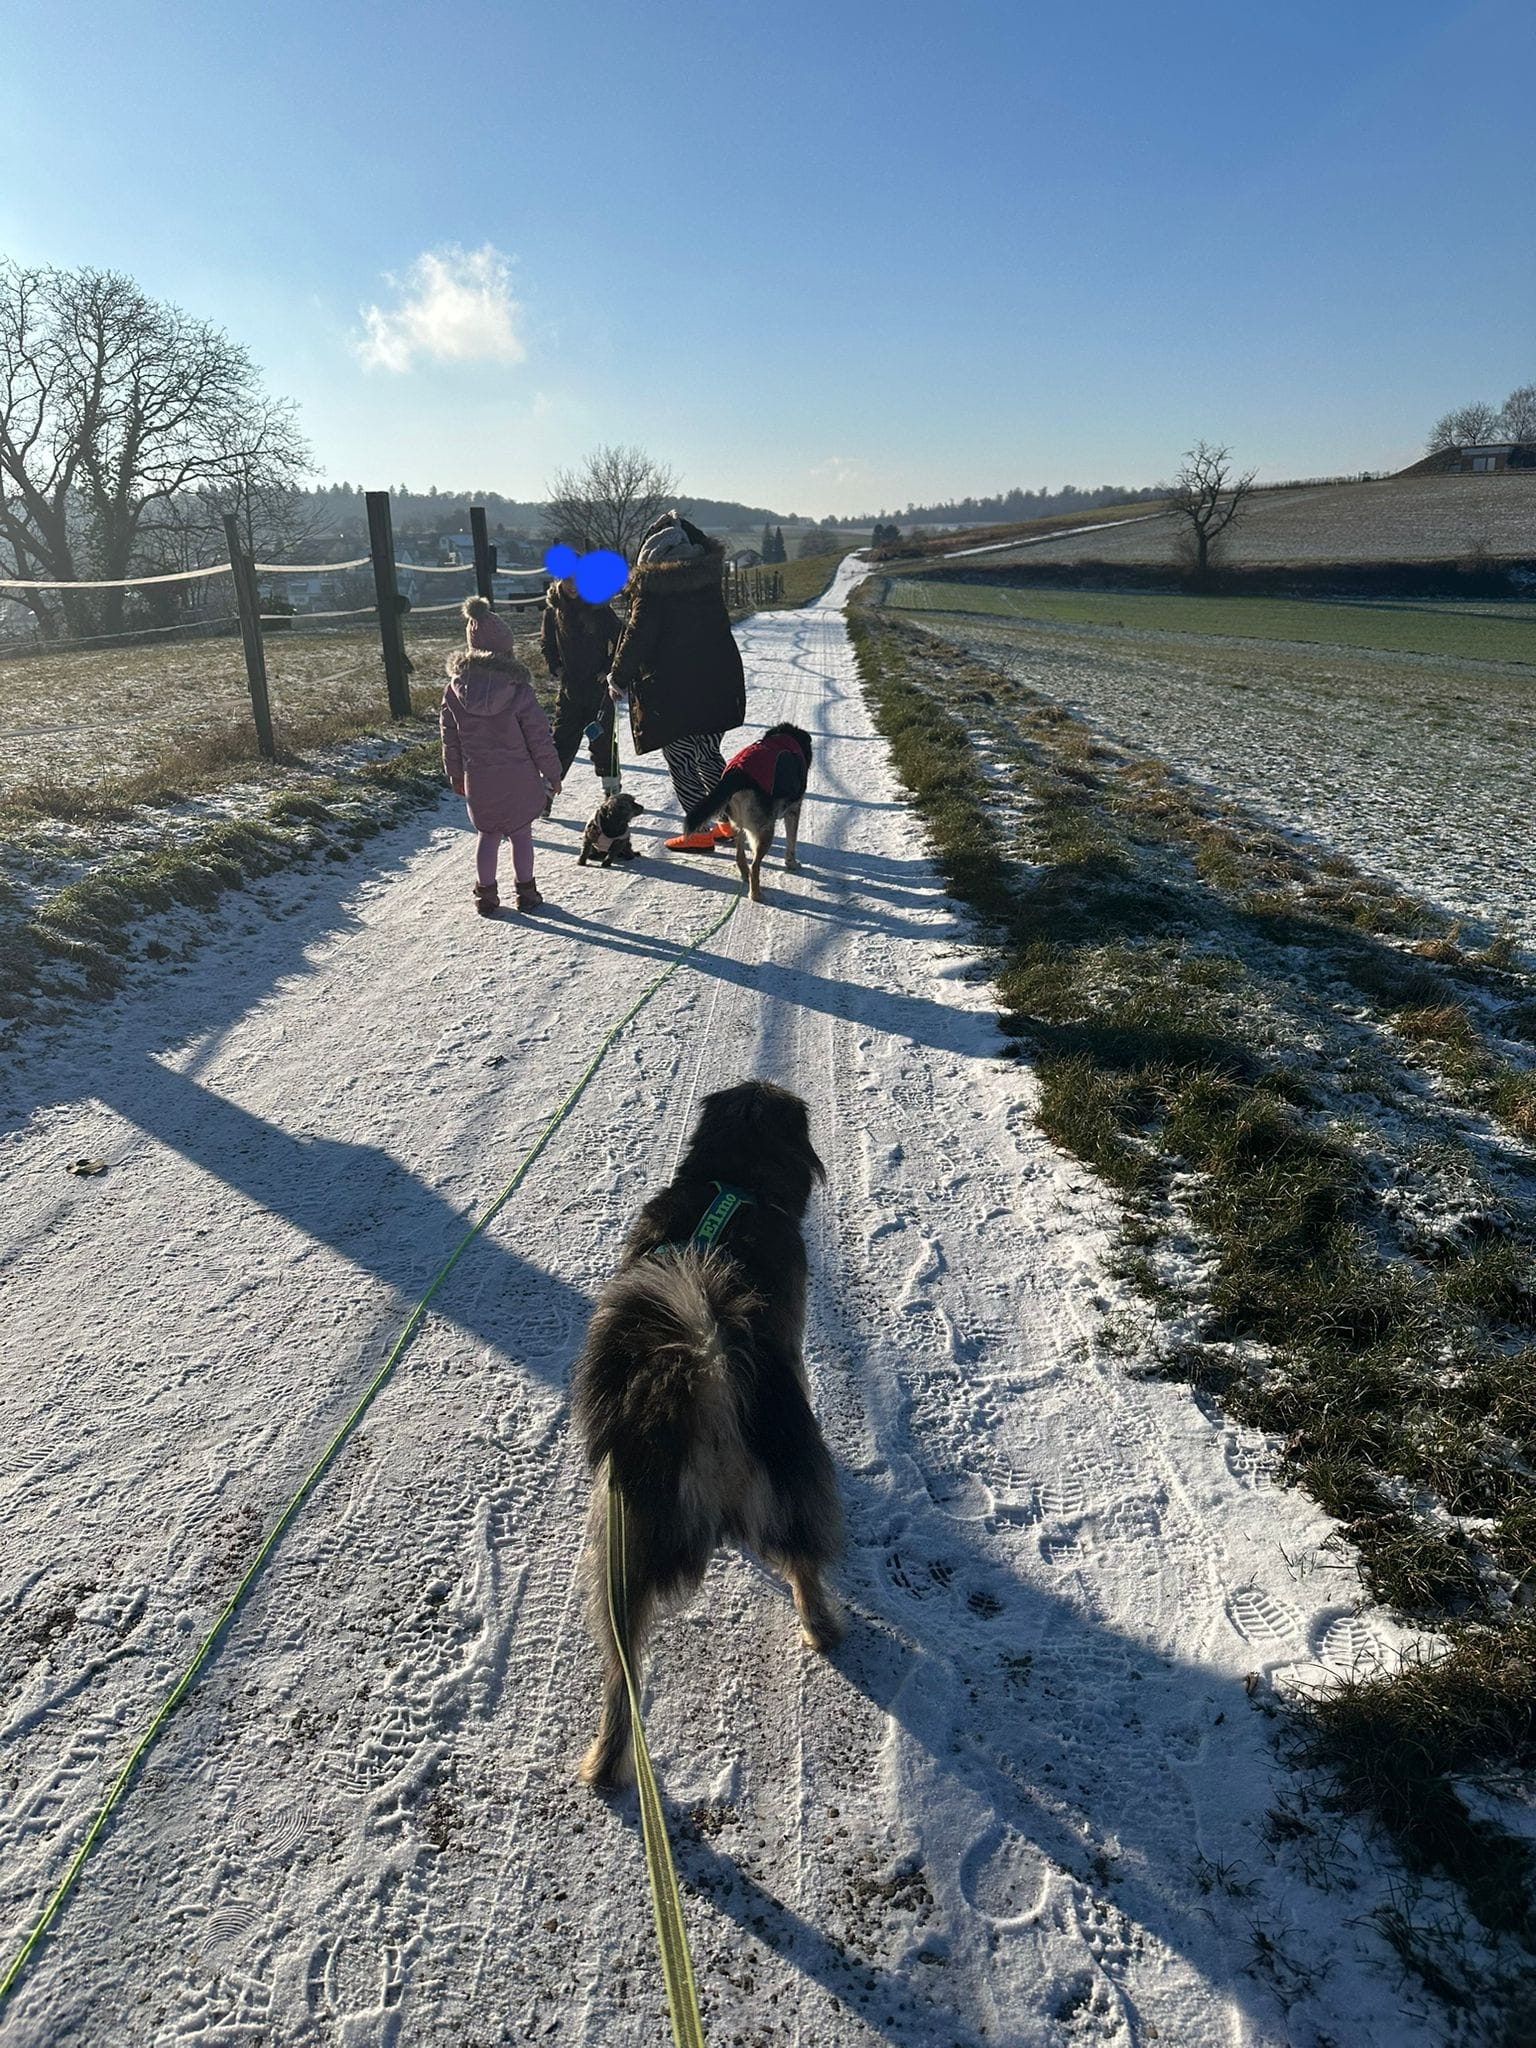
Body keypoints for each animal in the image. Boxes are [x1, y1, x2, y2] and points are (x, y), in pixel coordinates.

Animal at [570, 1080, 842, 1790]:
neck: (733, 1178)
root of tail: (706, 1373)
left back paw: (604, 1766)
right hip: (791, 1479)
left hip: (622, 1557)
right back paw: (824, 1629)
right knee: (806, 1571)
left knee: (623, 1675)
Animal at [683, 722, 813, 902]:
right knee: (754, 866)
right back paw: (756, 894)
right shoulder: (793, 810)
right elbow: (791, 842)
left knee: (740, 856)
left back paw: (745, 877)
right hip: (764, 831)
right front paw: (791, 863)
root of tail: (738, 775)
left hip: (739, 825)